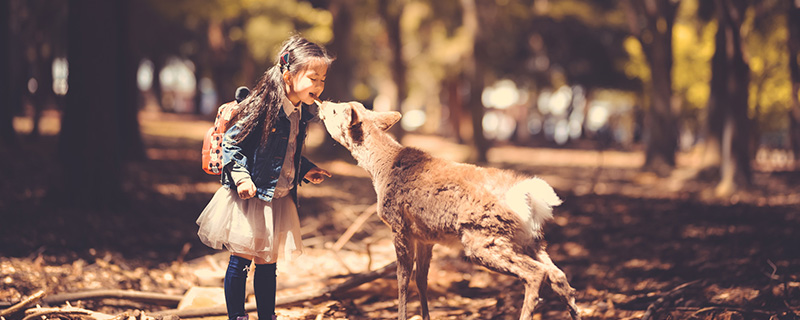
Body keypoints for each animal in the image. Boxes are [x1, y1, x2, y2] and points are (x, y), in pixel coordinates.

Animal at [318, 101, 580, 320]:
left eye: (336, 110)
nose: (323, 103)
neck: (379, 170)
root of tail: (529, 198)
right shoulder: (425, 237)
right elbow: (421, 279)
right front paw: (425, 317)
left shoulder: (399, 225)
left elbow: (402, 279)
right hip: (530, 239)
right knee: (558, 275)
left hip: (483, 239)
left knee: (536, 274)